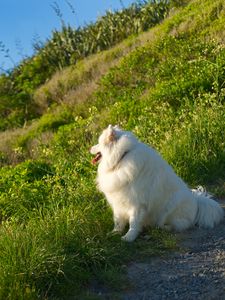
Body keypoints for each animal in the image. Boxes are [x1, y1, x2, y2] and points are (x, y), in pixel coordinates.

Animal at [90, 124, 224, 241]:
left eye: (98, 143)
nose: (89, 148)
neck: (122, 157)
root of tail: (197, 202)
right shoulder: (118, 201)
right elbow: (118, 221)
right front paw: (115, 233)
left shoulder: (137, 204)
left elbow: (134, 222)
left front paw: (129, 237)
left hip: (170, 206)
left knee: (176, 225)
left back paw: (164, 228)